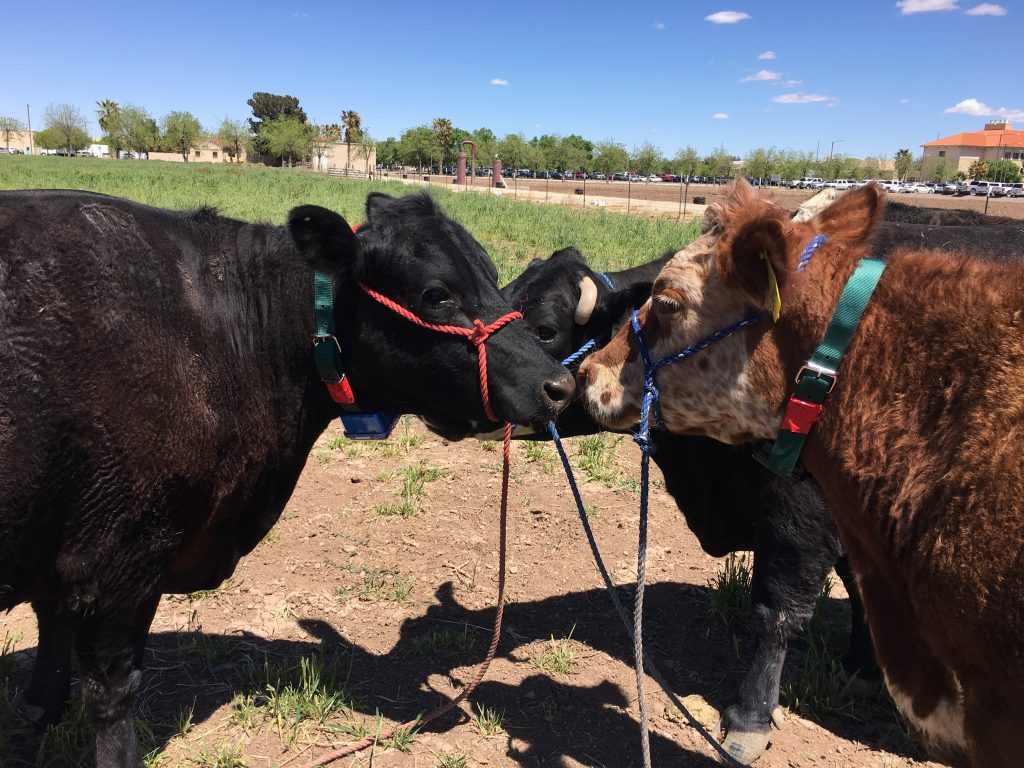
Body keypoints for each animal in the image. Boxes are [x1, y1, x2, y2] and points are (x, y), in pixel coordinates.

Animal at [0, 189, 577, 765]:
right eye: (436, 294)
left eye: (491, 274)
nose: (558, 385)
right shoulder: (124, 556)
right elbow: (110, 694)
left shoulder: (62, 561)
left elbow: (49, 667)